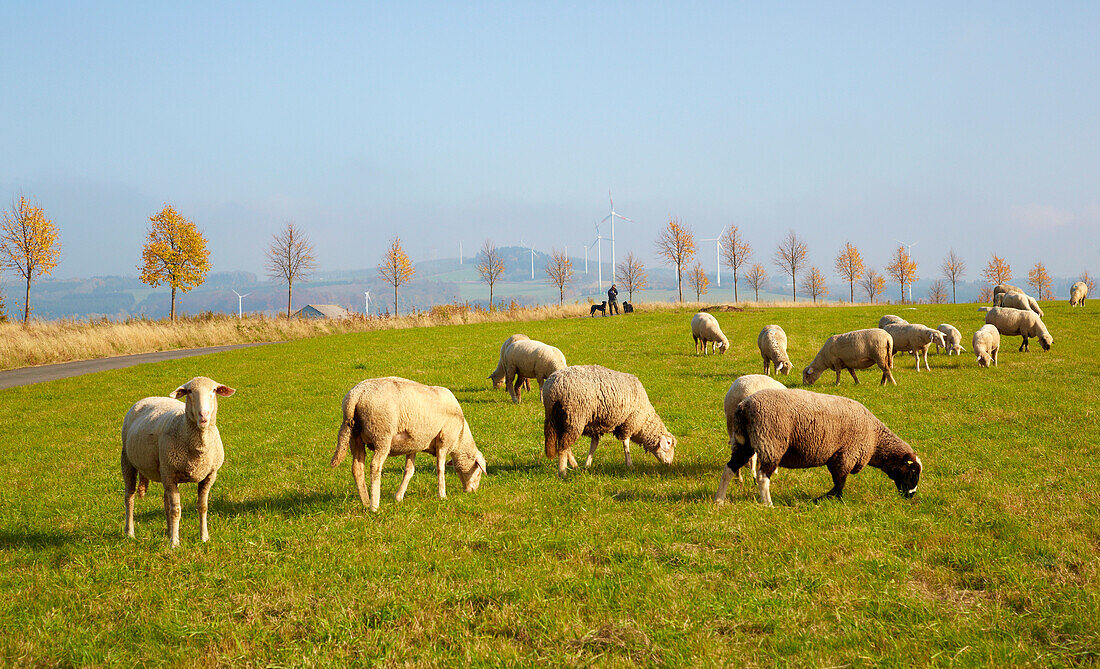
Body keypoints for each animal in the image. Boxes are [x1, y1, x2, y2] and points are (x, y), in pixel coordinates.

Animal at [120, 374, 236, 545]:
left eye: (214, 390)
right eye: (189, 391)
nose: (204, 416)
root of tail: (148, 398)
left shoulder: (209, 475)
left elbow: (202, 507)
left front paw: (204, 537)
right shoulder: (170, 474)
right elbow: (176, 510)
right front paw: (174, 542)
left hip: (164, 470)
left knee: (165, 502)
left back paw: (168, 531)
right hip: (128, 461)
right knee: (129, 497)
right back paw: (129, 532)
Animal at [325, 376, 481, 512]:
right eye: (479, 472)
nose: (472, 492)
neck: (460, 437)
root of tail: (356, 395)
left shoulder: (414, 444)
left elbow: (409, 471)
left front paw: (399, 496)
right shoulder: (444, 440)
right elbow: (440, 469)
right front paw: (442, 495)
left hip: (354, 437)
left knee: (357, 468)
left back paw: (365, 501)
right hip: (382, 434)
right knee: (375, 466)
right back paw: (374, 506)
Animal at [539, 365, 673, 475]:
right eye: (669, 443)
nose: (670, 464)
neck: (644, 422)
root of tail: (553, 387)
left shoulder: (596, 425)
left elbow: (594, 445)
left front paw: (587, 465)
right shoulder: (628, 422)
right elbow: (626, 444)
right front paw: (629, 464)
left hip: (558, 419)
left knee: (565, 445)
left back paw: (574, 465)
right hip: (575, 417)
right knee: (563, 446)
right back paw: (562, 472)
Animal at [717, 387, 924, 506]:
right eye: (913, 472)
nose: (911, 496)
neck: (875, 441)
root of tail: (744, 407)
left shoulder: (836, 457)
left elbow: (838, 483)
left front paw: (827, 500)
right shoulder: (846, 455)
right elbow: (839, 484)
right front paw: (825, 500)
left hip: (745, 442)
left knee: (729, 468)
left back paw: (719, 500)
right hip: (771, 441)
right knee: (762, 476)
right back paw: (768, 505)